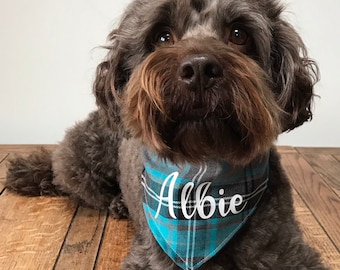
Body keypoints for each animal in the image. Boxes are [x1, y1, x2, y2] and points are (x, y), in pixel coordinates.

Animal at [5, 0, 330, 268]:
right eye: (162, 36)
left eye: (239, 34)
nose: (199, 68)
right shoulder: (152, 258)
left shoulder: (287, 251)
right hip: (84, 157)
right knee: (82, 187)